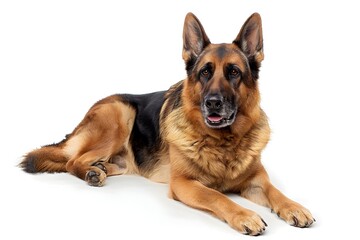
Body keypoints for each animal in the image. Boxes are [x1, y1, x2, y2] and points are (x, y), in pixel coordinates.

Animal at [19, 12, 314, 234]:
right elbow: (217, 196)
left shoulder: (256, 179)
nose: (213, 103)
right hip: (120, 115)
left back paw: (99, 169)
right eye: (205, 72)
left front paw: (294, 206)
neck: (223, 142)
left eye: (233, 72)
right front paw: (245, 215)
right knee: (72, 161)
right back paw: (91, 172)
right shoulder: (184, 184)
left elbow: (275, 191)